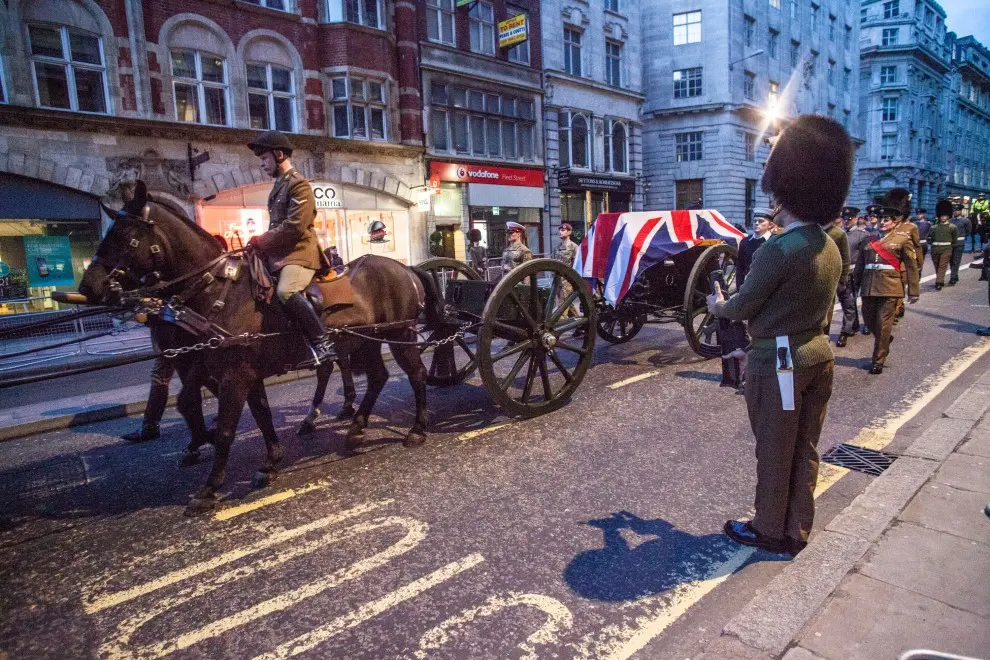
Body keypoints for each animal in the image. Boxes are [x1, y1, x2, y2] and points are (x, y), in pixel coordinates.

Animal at [79, 189, 444, 516]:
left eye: (127, 236)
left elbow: (227, 430)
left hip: (399, 333)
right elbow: (262, 416)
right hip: (366, 341)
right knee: (378, 377)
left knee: (416, 374)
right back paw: (355, 428)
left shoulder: (234, 377)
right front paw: (269, 463)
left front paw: (209, 488)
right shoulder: (244, 374)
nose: (88, 287)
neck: (221, 293)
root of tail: (405, 268)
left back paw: (416, 429)